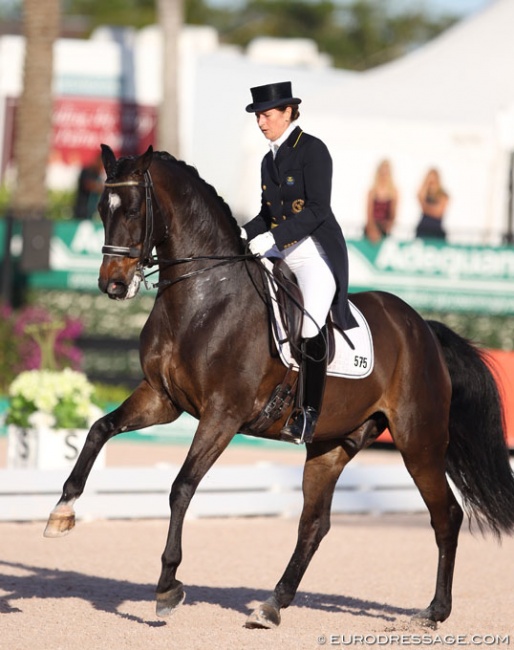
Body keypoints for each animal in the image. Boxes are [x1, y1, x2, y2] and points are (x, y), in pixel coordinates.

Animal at [43, 146, 512, 628]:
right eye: (103, 209)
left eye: (135, 209)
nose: (113, 284)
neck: (202, 298)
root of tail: (423, 328)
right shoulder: (162, 399)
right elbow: (99, 429)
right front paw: (61, 513)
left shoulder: (222, 414)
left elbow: (182, 486)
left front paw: (168, 587)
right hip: (332, 445)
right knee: (314, 523)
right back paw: (272, 605)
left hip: (418, 442)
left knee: (446, 515)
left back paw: (434, 611)